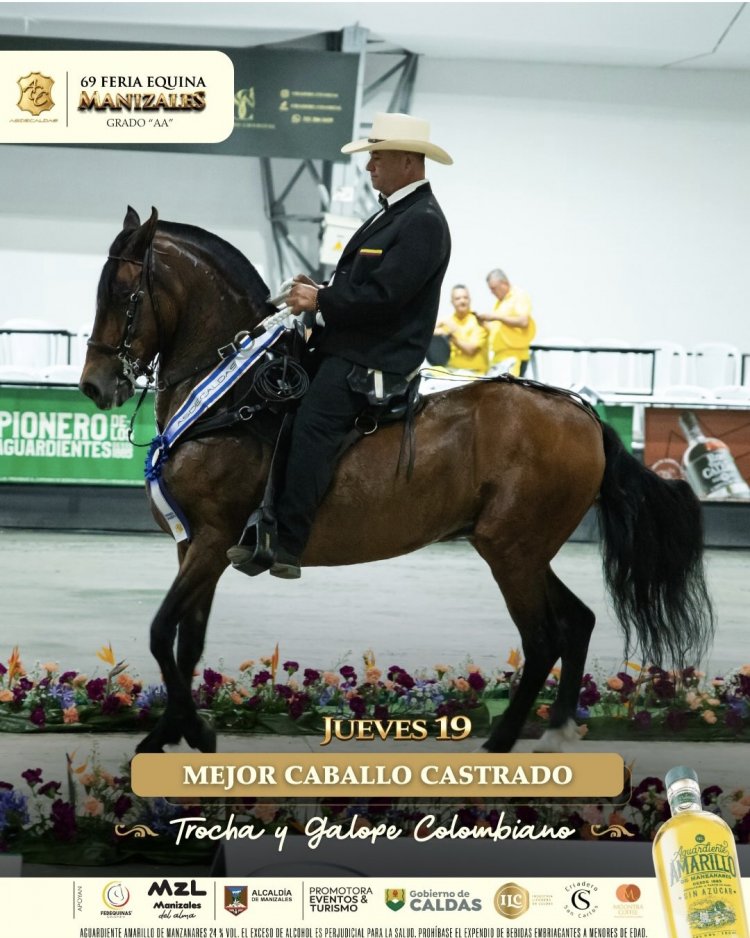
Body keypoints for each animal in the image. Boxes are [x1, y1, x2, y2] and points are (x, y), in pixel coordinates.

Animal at [80, 206, 714, 755]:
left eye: (124, 294)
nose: (94, 384)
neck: (233, 391)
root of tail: (581, 414)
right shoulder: (195, 546)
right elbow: (187, 644)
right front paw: (173, 733)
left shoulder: (212, 541)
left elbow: (161, 633)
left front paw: (189, 734)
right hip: (523, 550)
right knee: (576, 623)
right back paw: (553, 730)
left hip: (512, 553)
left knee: (543, 639)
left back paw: (504, 742)